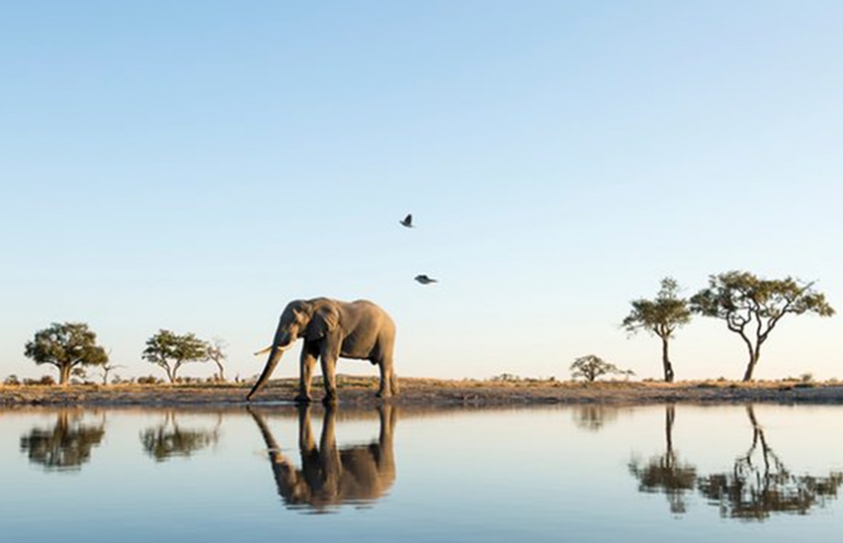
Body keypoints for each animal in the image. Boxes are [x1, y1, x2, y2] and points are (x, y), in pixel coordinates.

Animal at [247, 298, 398, 403]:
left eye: (296, 322)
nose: (248, 399)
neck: (310, 303)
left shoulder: (334, 330)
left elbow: (327, 356)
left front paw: (330, 401)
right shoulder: (312, 329)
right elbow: (307, 358)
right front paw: (302, 400)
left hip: (385, 335)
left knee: (383, 363)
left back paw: (382, 396)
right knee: (389, 363)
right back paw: (395, 393)